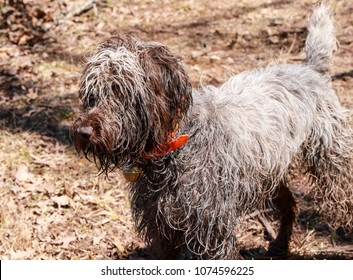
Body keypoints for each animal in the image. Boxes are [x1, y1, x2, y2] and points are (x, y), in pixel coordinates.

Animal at [71, 3, 352, 260]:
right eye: (92, 94)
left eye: (120, 90)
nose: (83, 132)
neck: (175, 148)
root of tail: (310, 69)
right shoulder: (162, 229)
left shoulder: (210, 231)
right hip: (269, 174)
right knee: (289, 205)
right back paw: (280, 246)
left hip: (333, 163)